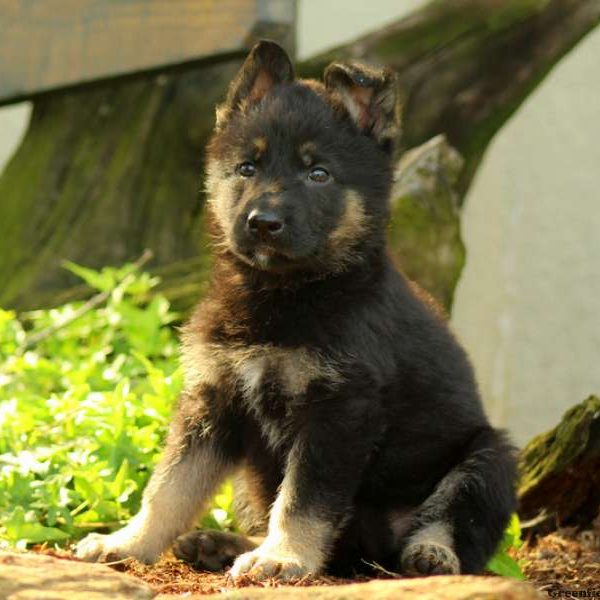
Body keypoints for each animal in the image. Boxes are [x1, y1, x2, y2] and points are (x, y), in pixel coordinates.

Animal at [76, 38, 516, 580]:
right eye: (248, 167)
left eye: (318, 173)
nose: (263, 222)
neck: (282, 294)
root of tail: (367, 554)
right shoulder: (214, 397)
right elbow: (169, 486)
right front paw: (128, 542)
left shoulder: (338, 410)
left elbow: (303, 498)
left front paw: (283, 556)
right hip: (253, 477)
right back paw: (221, 544)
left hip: (491, 455)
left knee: (459, 522)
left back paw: (430, 553)